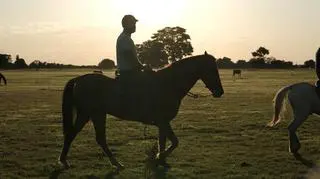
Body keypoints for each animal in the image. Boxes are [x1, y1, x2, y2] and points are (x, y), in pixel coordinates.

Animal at [58, 52, 224, 171]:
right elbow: (174, 142)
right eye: (211, 69)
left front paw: (161, 160)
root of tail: (79, 79)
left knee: (82, 135)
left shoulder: (163, 123)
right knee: (90, 137)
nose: (220, 92)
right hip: (93, 114)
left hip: (91, 114)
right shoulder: (163, 121)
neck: (168, 83)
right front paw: (157, 158)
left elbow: (164, 141)